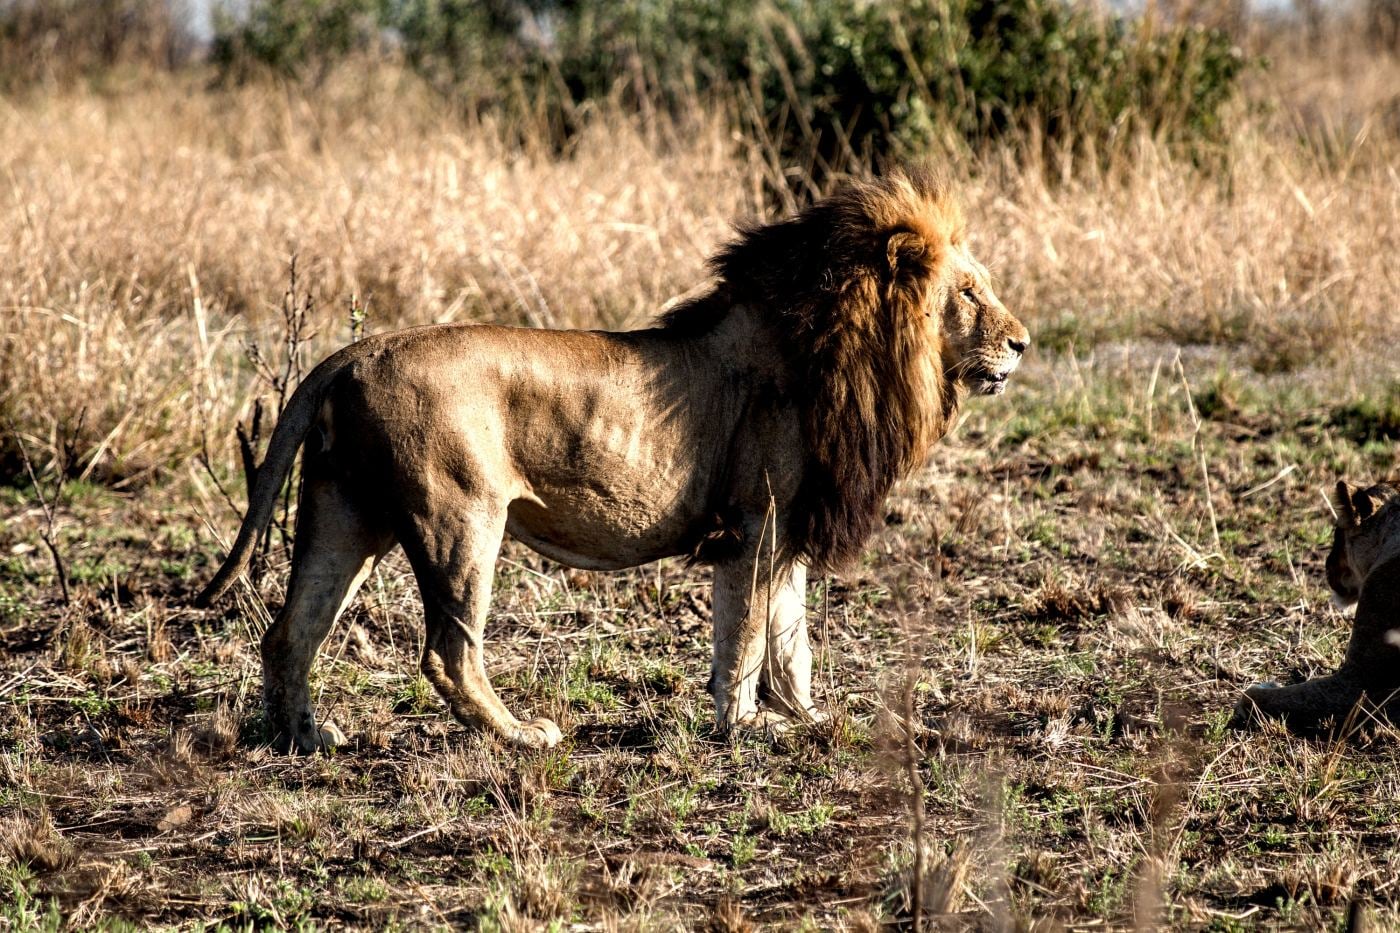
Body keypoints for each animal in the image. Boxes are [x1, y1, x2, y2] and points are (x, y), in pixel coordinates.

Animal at [196, 171, 1030, 753]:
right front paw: (745, 725)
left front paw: (808, 717)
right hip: (460, 518)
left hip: (343, 513)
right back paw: (522, 734)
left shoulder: (782, 525)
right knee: (446, 652)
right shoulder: (757, 519)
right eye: (968, 292)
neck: (843, 341)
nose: (1023, 342)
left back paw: (305, 737)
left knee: (291, 630)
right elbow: (749, 633)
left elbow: (788, 638)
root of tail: (353, 354)